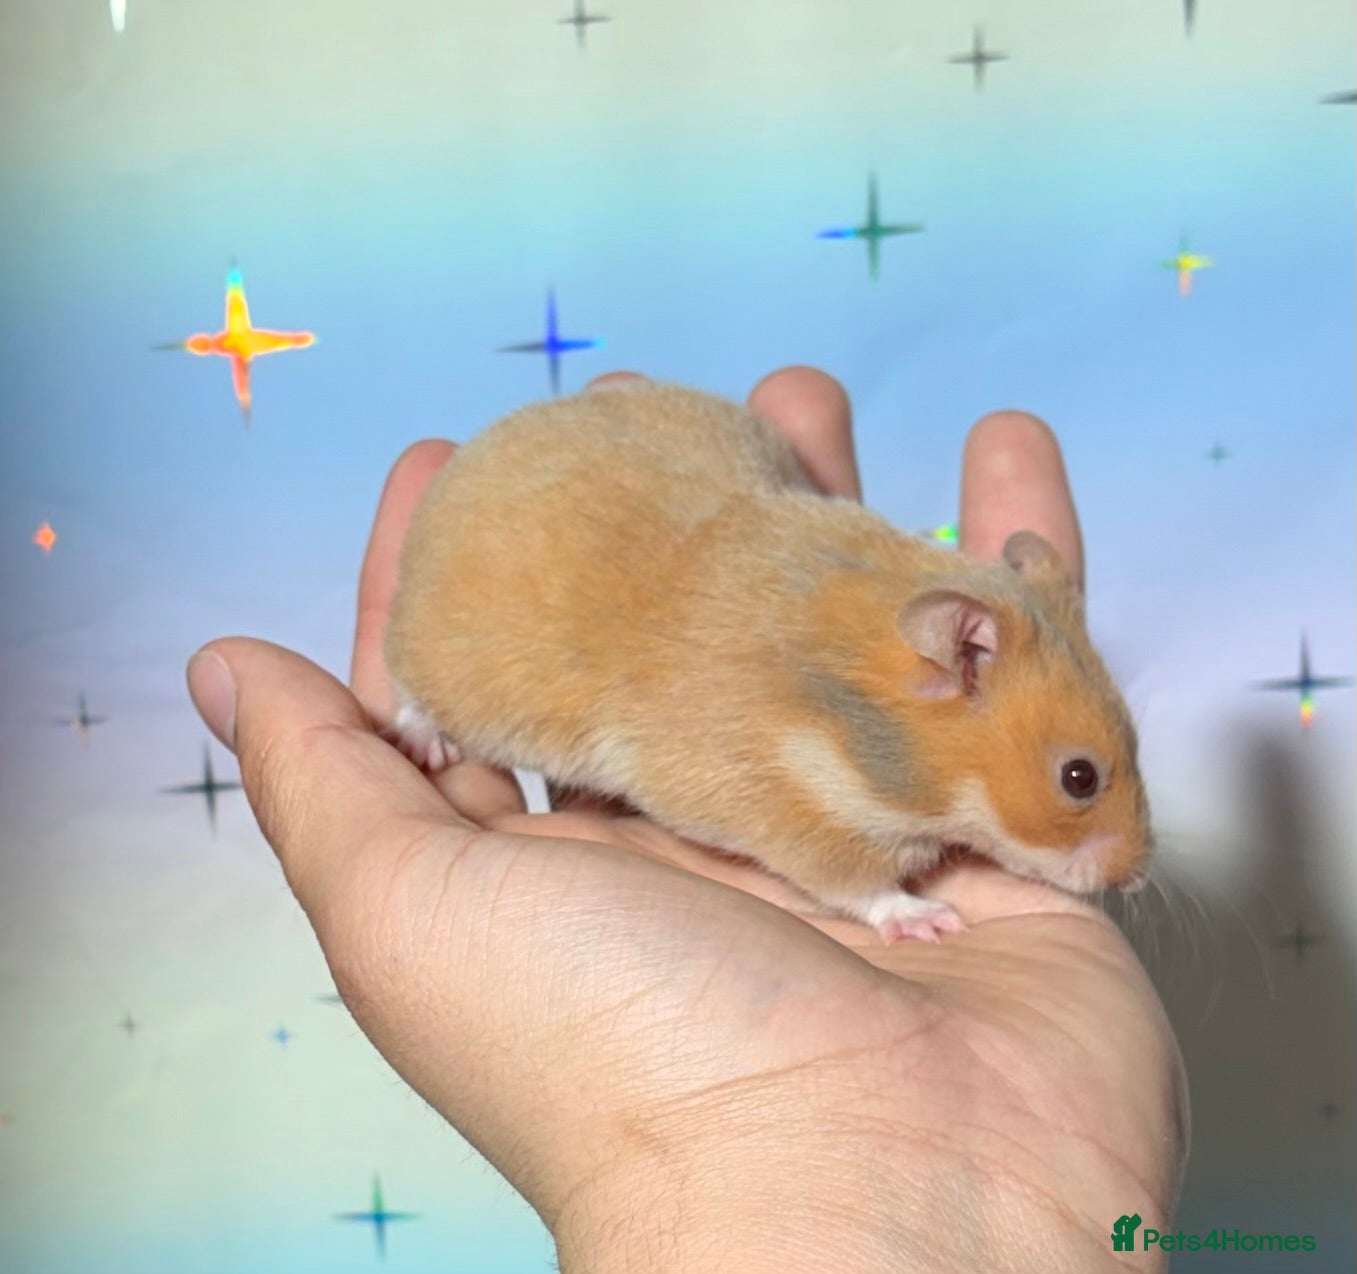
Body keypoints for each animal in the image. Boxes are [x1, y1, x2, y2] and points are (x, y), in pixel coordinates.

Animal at [384, 381, 1152, 942]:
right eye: (1079, 777)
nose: (1136, 879)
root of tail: (456, 474)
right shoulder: (791, 817)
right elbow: (860, 887)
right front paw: (934, 921)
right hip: (449, 671)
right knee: (407, 688)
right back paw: (426, 745)